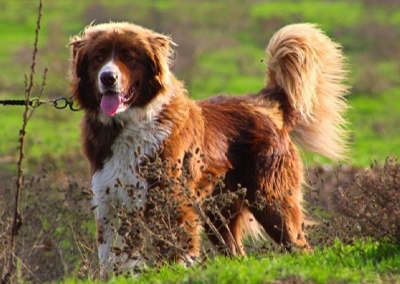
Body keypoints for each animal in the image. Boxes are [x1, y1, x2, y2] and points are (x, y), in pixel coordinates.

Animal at [69, 21, 350, 278]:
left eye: (128, 57)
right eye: (98, 57)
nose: (108, 77)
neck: (128, 123)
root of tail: (266, 105)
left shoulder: (172, 202)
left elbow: (174, 253)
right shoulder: (111, 203)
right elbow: (115, 259)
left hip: (271, 200)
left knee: (300, 247)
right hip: (220, 212)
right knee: (237, 252)